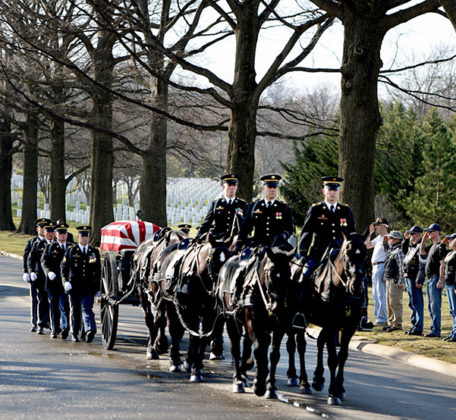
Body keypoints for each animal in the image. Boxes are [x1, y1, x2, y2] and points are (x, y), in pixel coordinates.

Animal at [302, 231, 370, 406]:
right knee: (299, 346)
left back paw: (317, 378)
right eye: (347, 253)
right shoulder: (331, 324)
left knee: (319, 341)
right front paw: (333, 393)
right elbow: (333, 358)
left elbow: (343, 356)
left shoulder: (349, 327)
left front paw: (340, 388)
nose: (356, 285)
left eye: (365, 254)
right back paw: (303, 382)